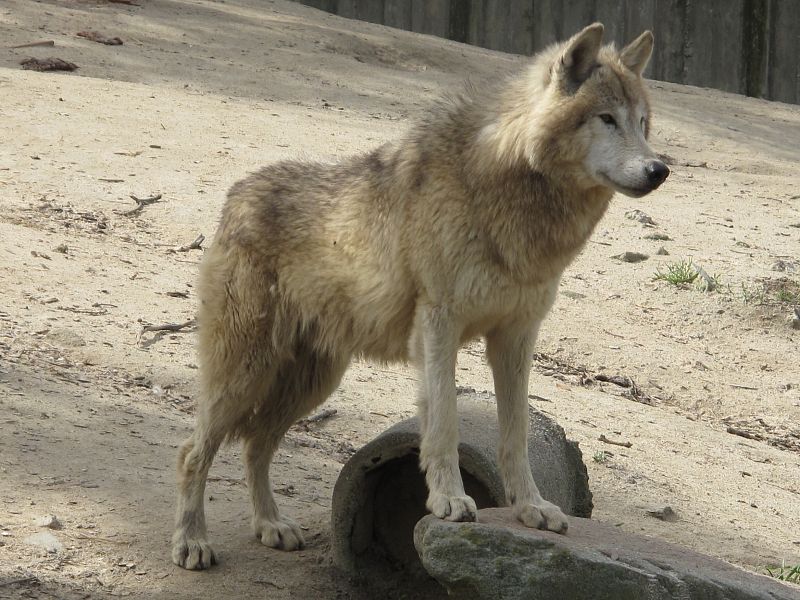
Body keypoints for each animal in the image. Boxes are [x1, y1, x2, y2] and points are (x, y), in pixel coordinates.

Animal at [173, 21, 668, 568]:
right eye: (607, 119)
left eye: (643, 123)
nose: (658, 170)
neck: (509, 190)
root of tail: (234, 196)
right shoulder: (438, 325)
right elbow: (445, 423)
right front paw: (450, 499)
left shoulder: (516, 338)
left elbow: (515, 433)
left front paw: (531, 508)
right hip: (245, 373)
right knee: (193, 452)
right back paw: (192, 541)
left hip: (311, 383)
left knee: (255, 446)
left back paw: (270, 526)